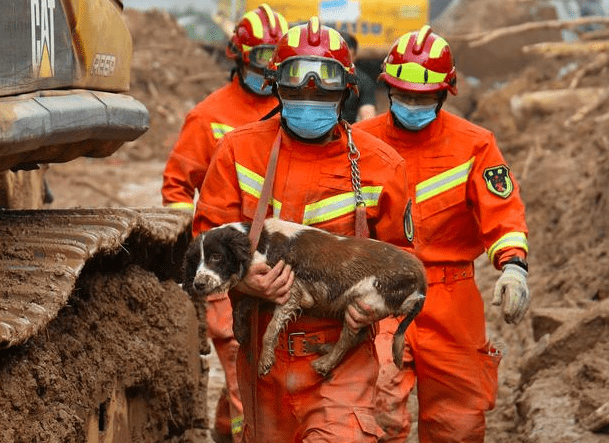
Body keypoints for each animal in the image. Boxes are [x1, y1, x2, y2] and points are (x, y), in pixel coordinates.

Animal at [183, 219, 426, 378]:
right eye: (194, 261)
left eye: (217, 256)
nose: (198, 284)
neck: (259, 242)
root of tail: (421, 278)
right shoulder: (271, 288)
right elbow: (241, 306)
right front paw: (240, 332)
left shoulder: (293, 293)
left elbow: (269, 331)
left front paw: (264, 363)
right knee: (361, 334)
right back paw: (326, 350)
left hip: (364, 301)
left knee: (349, 337)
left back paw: (324, 363)